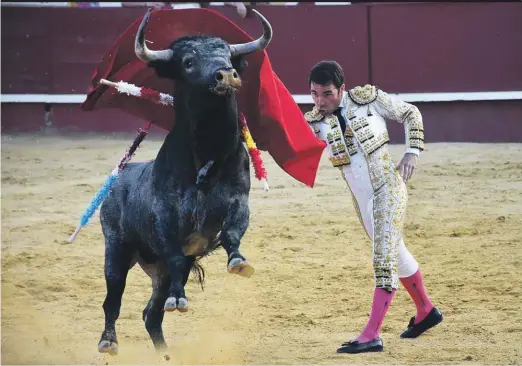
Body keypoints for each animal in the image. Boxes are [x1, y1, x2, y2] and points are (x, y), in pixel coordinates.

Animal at [96, 10, 272, 356]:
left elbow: (232, 233)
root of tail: (118, 177)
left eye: (228, 55)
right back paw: (109, 341)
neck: (205, 157)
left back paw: (165, 352)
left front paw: (239, 262)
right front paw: (179, 299)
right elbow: (176, 254)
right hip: (116, 250)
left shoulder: (238, 201)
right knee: (113, 300)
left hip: (158, 270)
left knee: (151, 313)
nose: (226, 75)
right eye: (188, 62)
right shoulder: (166, 216)